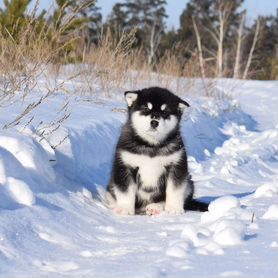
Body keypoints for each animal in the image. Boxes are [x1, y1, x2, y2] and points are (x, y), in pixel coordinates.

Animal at [105, 87, 207, 215]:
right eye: (145, 108)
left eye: (165, 112)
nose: (154, 122)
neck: (151, 145)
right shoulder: (125, 165)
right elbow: (125, 190)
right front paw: (125, 208)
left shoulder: (176, 165)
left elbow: (174, 189)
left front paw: (173, 208)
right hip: (111, 184)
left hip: (188, 182)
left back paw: (155, 207)